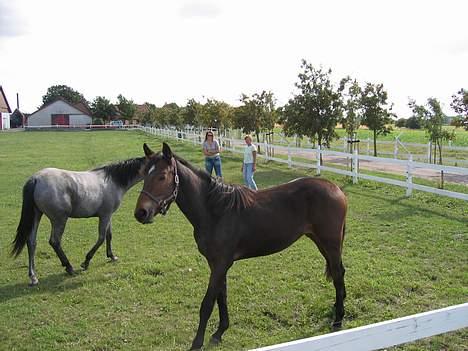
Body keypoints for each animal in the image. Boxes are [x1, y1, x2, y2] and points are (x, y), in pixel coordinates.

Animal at [11, 158, 146, 288]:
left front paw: (112, 256)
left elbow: (109, 236)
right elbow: (101, 238)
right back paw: (69, 267)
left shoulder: (108, 216)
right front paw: (86, 262)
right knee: (54, 241)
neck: (112, 181)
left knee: (31, 242)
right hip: (59, 219)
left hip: (36, 215)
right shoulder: (105, 215)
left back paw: (33, 276)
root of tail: (36, 179)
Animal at [133, 142, 346, 350]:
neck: (215, 211)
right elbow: (222, 297)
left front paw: (197, 343)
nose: (141, 213)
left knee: (337, 274)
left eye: (162, 176)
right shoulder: (217, 264)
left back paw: (338, 319)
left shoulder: (221, 264)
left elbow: (207, 304)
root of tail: (336, 188)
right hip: (320, 242)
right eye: (144, 175)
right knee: (339, 272)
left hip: (331, 243)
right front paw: (219, 333)